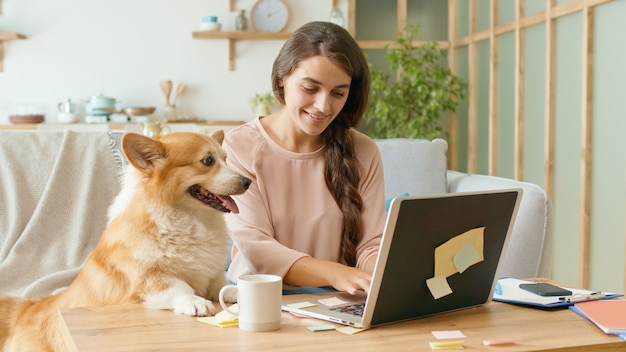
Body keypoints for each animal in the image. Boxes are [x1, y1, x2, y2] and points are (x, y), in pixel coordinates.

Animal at [0, 131, 249, 350]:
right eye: (207, 161)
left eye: (225, 158)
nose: (247, 181)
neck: (191, 220)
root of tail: (26, 310)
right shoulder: (146, 278)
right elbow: (177, 285)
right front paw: (195, 302)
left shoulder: (212, 275)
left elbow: (223, 286)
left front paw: (236, 293)